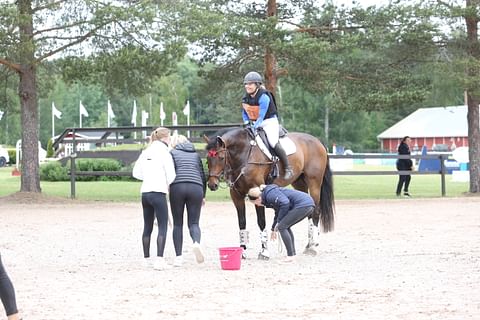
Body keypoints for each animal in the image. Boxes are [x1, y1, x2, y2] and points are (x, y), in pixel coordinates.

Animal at [204, 127, 336, 260]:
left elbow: (261, 221)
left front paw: (264, 251)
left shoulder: (257, 194)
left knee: (316, 211)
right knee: (309, 210)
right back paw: (309, 245)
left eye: (221, 157)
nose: (212, 185)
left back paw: (313, 246)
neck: (244, 155)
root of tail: (317, 140)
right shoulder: (236, 196)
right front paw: (242, 251)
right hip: (299, 183)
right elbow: (242, 222)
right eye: (207, 159)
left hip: (314, 183)